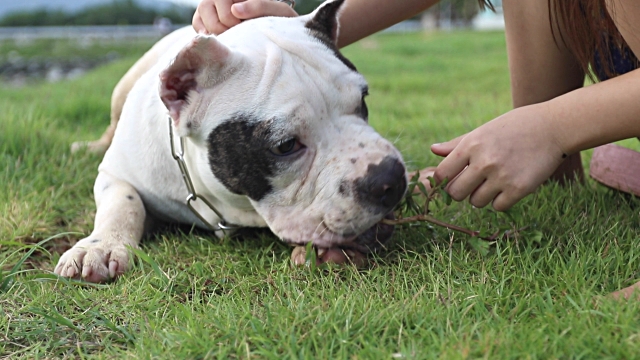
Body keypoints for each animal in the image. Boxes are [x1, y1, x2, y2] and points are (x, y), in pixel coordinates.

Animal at [53, 0, 404, 282]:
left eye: (362, 101)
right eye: (285, 146)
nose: (391, 177)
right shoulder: (115, 173)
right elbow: (122, 202)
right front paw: (100, 246)